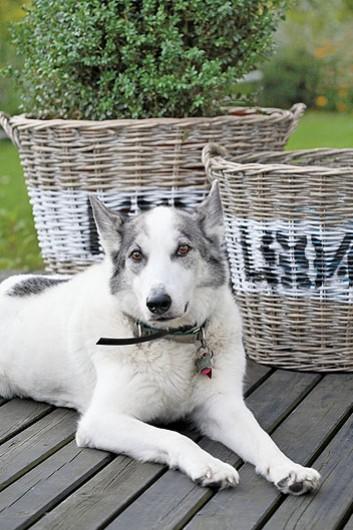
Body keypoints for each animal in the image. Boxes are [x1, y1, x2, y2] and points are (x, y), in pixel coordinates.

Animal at [0, 184, 320, 492]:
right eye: (136, 255)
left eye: (183, 249)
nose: (157, 303)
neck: (170, 339)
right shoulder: (101, 420)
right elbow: (175, 437)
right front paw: (210, 466)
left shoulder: (222, 405)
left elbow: (262, 437)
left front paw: (288, 468)